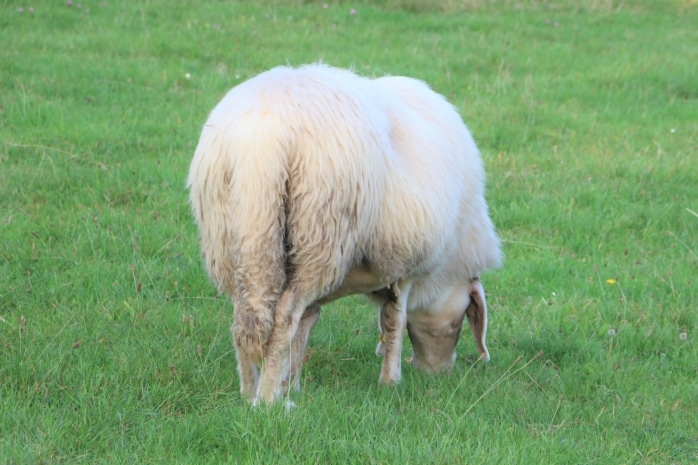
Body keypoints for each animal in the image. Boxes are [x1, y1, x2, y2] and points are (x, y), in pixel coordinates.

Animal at [185, 63, 500, 404]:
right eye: (460, 321)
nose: (439, 373)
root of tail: (264, 143)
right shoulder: (405, 264)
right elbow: (395, 320)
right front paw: (390, 381)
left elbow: (308, 323)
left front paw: (290, 383)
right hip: (320, 231)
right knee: (283, 317)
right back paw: (267, 401)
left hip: (238, 235)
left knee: (245, 319)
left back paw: (248, 394)